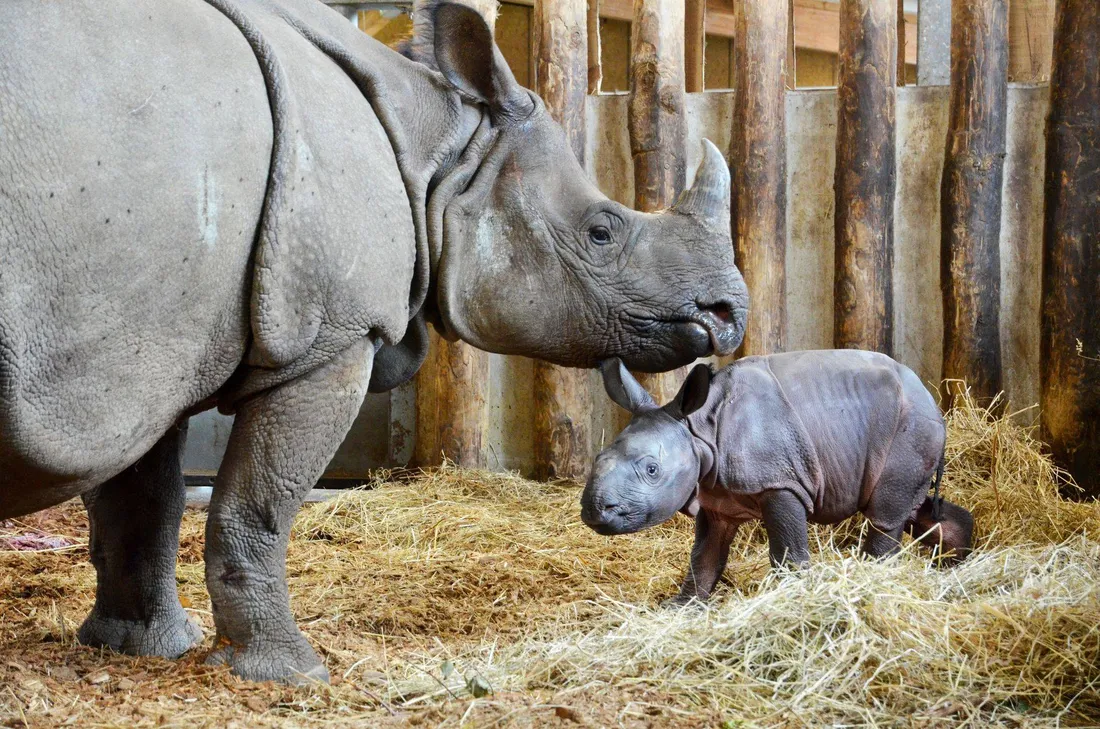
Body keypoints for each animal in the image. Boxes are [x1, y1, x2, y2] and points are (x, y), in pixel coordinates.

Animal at [0, 0, 748, 682]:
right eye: (601, 231)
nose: (727, 313)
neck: (441, 152)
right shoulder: (329, 337)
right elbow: (257, 504)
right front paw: (288, 675)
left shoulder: (152, 351)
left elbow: (144, 500)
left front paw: (142, 648)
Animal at [581, 352, 974, 604]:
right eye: (596, 458)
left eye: (651, 470)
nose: (594, 510)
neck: (698, 431)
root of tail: (933, 401)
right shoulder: (716, 498)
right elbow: (705, 558)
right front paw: (681, 607)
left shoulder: (780, 483)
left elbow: (787, 552)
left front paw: (793, 596)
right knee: (915, 508)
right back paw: (955, 567)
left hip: (910, 425)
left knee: (885, 512)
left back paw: (870, 577)